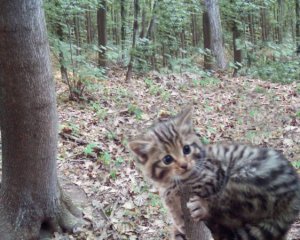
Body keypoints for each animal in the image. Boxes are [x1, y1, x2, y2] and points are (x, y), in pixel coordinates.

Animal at [129, 108, 300, 239]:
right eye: (167, 159)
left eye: (186, 149)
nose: (184, 165)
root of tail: (293, 202)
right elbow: (174, 212)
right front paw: (179, 224)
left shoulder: (215, 174)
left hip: (248, 179)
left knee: (227, 207)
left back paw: (202, 208)